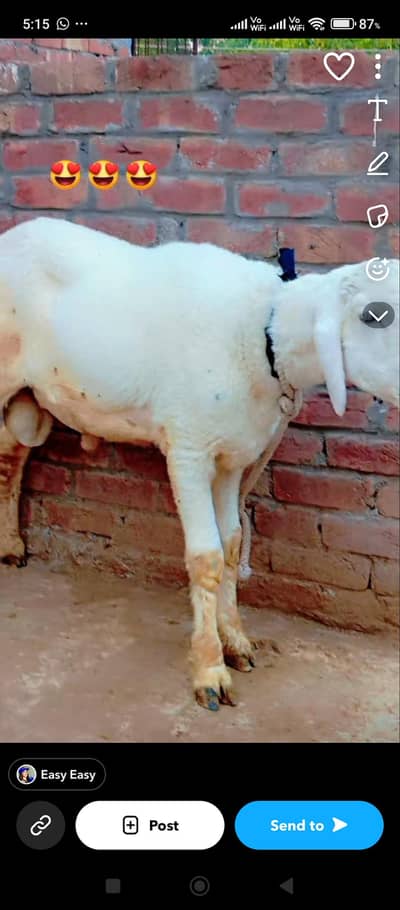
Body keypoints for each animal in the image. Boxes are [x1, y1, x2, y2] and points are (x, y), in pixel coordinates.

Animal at [1, 217, 398, 710]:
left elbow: (231, 544)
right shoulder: (188, 448)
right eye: (372, 314)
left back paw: (10, 545)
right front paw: (210, 671)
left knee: (11, 455)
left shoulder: (231, 456)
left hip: (28, 399)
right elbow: (206, 557)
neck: (262, 335)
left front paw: (237, 642)